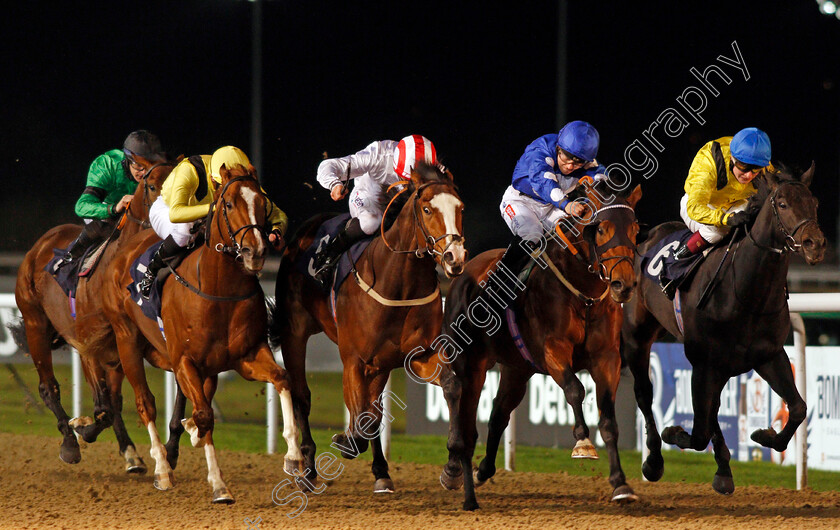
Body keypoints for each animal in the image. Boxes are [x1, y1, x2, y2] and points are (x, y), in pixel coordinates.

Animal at [10, 155, 176, 468]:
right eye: (151, 185)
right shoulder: (92, 343)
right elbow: (103, 406)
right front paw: (80, 431)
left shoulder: (117, 346)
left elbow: (110, 404)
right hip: (36, 324)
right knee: (48, 387)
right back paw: (69, 442)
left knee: (111, 400)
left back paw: (128, 451)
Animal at [99, 163, 302, 502]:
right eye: (228, 204)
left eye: (263, 203)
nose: (256, 251)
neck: (219, 289)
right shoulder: (184, 360)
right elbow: (205, 415)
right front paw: (219, 484)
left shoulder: (246, 356)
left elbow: (282, 379)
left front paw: (294, 458)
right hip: (127, 339)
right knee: (145, 403)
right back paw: (162, 469)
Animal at [270, 163, 466, 492]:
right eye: (427, 209)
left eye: (460, 208)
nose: (455, 257)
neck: (398, 282)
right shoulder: (354, 359)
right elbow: (362, 418)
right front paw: (345, 440)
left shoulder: (418, 354)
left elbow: (451, 386)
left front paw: (452, 467)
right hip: (294, 332)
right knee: (302, 395)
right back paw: (307, 467)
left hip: (380, 363)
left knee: (373, 409)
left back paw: (381, 471)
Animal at [440, 180, 644, 508]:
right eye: (602, 229)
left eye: (635, 228)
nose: (623, 285)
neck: (583, 295)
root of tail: (463, 274)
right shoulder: (553, 350)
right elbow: (575, 389)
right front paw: (582, 441)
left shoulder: (606, 359)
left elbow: (608, 419)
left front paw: (620, 483)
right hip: (471, 364)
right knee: (464, 414)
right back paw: (458, 476)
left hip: (516, 369)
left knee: (498, 415)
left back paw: (483, 470)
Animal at [624, 163, 828, 492]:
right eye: (783, 204)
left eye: (815, 204)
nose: (815, 244)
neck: (744, 289)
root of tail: (647, 237)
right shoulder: (704, 362)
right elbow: (698, 433)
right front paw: (672, 434)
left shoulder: (768, 355)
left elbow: (798, 407)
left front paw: (764, 436)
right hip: (637, 337)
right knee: (645, 393)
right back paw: (653, 461)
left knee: (713, 410)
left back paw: (723, 469)